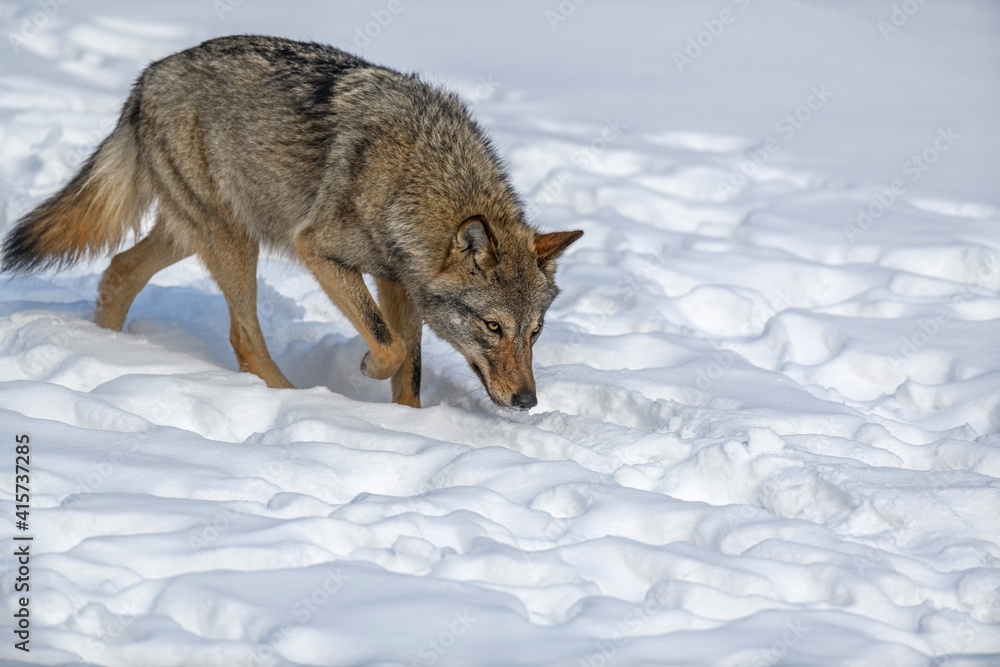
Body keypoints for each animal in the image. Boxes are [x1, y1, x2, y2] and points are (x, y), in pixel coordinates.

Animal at [1, 36, 580, 412]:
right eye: (493, 327)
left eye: (534, 331)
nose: (527, 401)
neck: (416, 177)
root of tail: (148, 76)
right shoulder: (318, 251)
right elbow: (389, 345)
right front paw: (366, 371)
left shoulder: (396, 279)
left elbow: (410, 371)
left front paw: (409, 427)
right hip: (233, 241)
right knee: (241, 335)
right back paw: (291, 402)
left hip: (198, 235)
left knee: (119, 271)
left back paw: (108, 348)